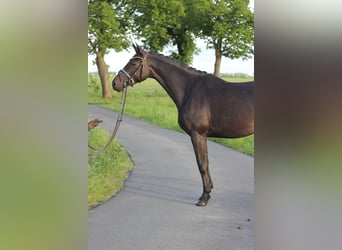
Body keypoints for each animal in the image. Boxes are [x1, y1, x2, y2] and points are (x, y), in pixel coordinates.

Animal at [112, 44, 254, 206]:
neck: (190, 89)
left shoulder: (197, 134)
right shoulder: (201, 136)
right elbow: (205, 163)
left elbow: (202, 164)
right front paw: (208, 192)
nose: (115, 83)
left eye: (134, 62)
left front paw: (204, 197)